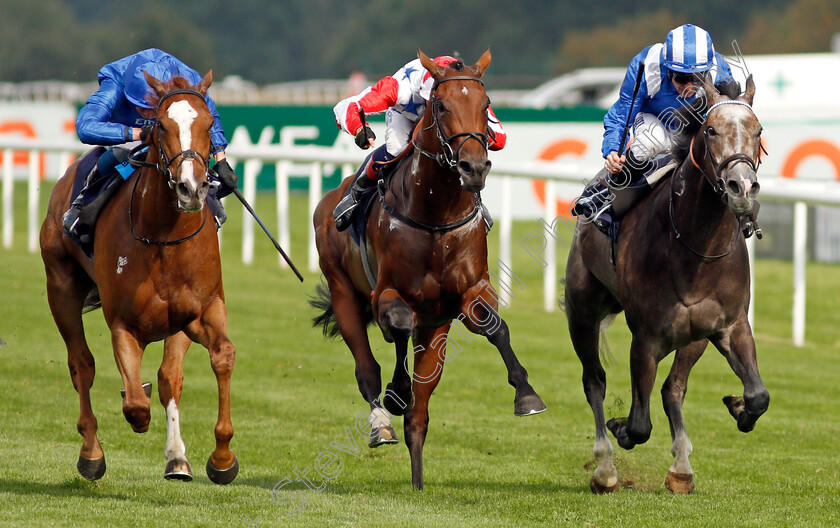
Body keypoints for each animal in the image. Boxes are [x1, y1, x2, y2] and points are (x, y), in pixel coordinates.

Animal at [40, 72, 240, 484]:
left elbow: (214, 360)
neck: (162, 236)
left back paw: (176, 456)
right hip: (60, 287)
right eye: (160, 125)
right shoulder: (124, 323)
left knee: (166, 377)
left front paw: (220, 457)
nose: (191, 188)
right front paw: (137, 414)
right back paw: (91, 452)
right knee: (81, 365)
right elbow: (134, 402)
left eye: (209, 123)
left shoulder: (198, 312)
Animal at [314, 50, 544, 490]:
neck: (436, 214)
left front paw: (527, 394)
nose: (474, 167)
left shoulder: (471, 291)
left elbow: (494, 326)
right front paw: (396, 389)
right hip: (343, 291)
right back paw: (382, 420)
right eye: (442, 106)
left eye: (486, 105)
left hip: (436, 327)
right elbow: (398, 325)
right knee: (368, 368)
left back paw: (418, 477)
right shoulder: (385, 292)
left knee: (419, 414)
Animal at [564, 75, 768, 496]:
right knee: (594, 381)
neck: (697, 248)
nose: (742, 188)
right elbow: (639, 424)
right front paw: (621, 428)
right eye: (710, 130)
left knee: (672, 388)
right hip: (581, 312)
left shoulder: (728, 325)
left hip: (693, 336)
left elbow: (759, 395)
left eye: (758, 131)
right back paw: (605, 468)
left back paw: (681, 468)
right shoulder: (646, 337)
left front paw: (739, 407)